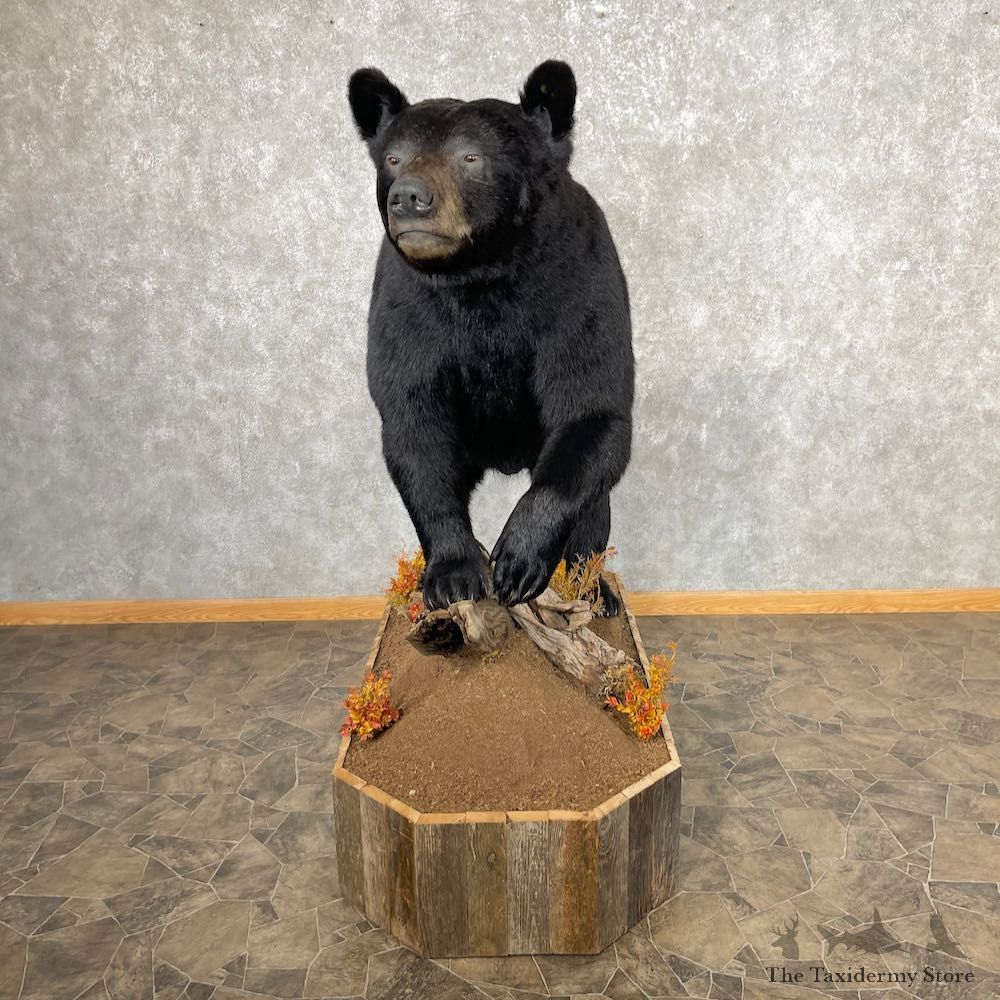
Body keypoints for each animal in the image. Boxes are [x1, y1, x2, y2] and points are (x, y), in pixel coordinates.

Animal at [348, 61, 634, 614]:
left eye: (470, 156)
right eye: (394, 157)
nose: (409, 196)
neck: (481, 276)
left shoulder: (579, 287)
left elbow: (592, 408)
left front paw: (520, 562)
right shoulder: (408, 308)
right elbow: (412, 423)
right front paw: (454, 574)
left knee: (595, 507)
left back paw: (596, 588)